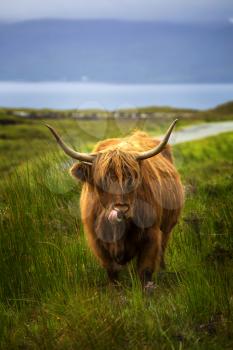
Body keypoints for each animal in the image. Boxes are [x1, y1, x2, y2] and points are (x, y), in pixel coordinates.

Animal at [47, 119, 185, 288]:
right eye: (102, 180)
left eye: (132, 178)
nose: (122, 209)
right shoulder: (98, 243)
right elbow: (112, 273)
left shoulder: (151, 235)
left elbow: (145, 271)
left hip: (167, 227)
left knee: (163, 250)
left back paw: (163, 270)